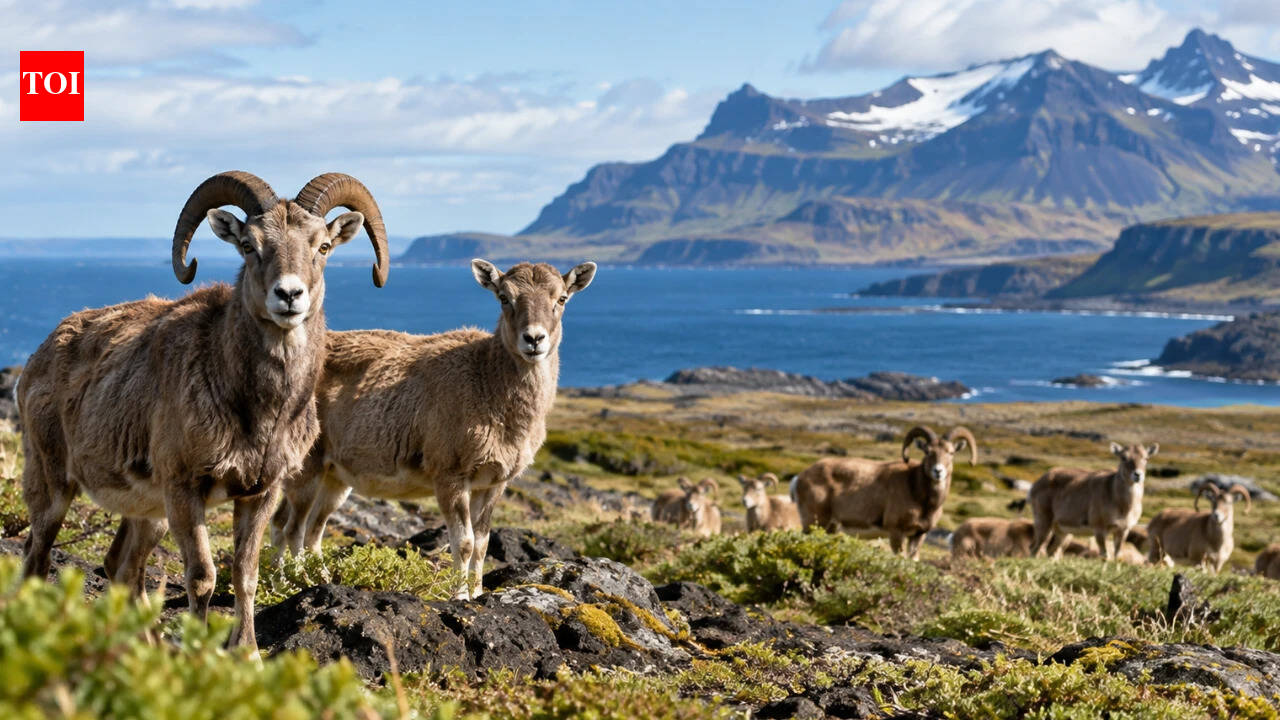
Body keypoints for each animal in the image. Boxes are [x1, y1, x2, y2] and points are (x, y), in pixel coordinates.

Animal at [19, 172, 388, 651]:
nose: (289, 295)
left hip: (149, 514)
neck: (255, 412)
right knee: (38, 558)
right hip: (54, 485)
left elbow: (246, 576)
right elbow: (202, 578)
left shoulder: (260, 494)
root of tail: (40, 356)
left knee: (122, 567)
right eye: (249, 245)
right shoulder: (185, 490)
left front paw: (247, 653)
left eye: (323, 246)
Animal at [273, 259, 595, 599]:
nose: (533, 339)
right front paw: (460, 596)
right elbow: (464, 542)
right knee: (293, 527)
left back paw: (304, 581)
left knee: (303, 527)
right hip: (308, 465)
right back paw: (295, 583)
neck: (487, 382)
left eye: (562, 298)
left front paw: (478, 594)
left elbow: (482, 544)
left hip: (334, 476)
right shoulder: (449, 473)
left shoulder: (494, 482)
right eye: (504, 297)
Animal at [792, 426, 977, 560]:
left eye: (951, 452)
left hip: (829, 528)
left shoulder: (918, 536)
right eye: (927, 451)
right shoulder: (896, 532)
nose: (938, 471)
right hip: (814, 523)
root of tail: (798, 478)